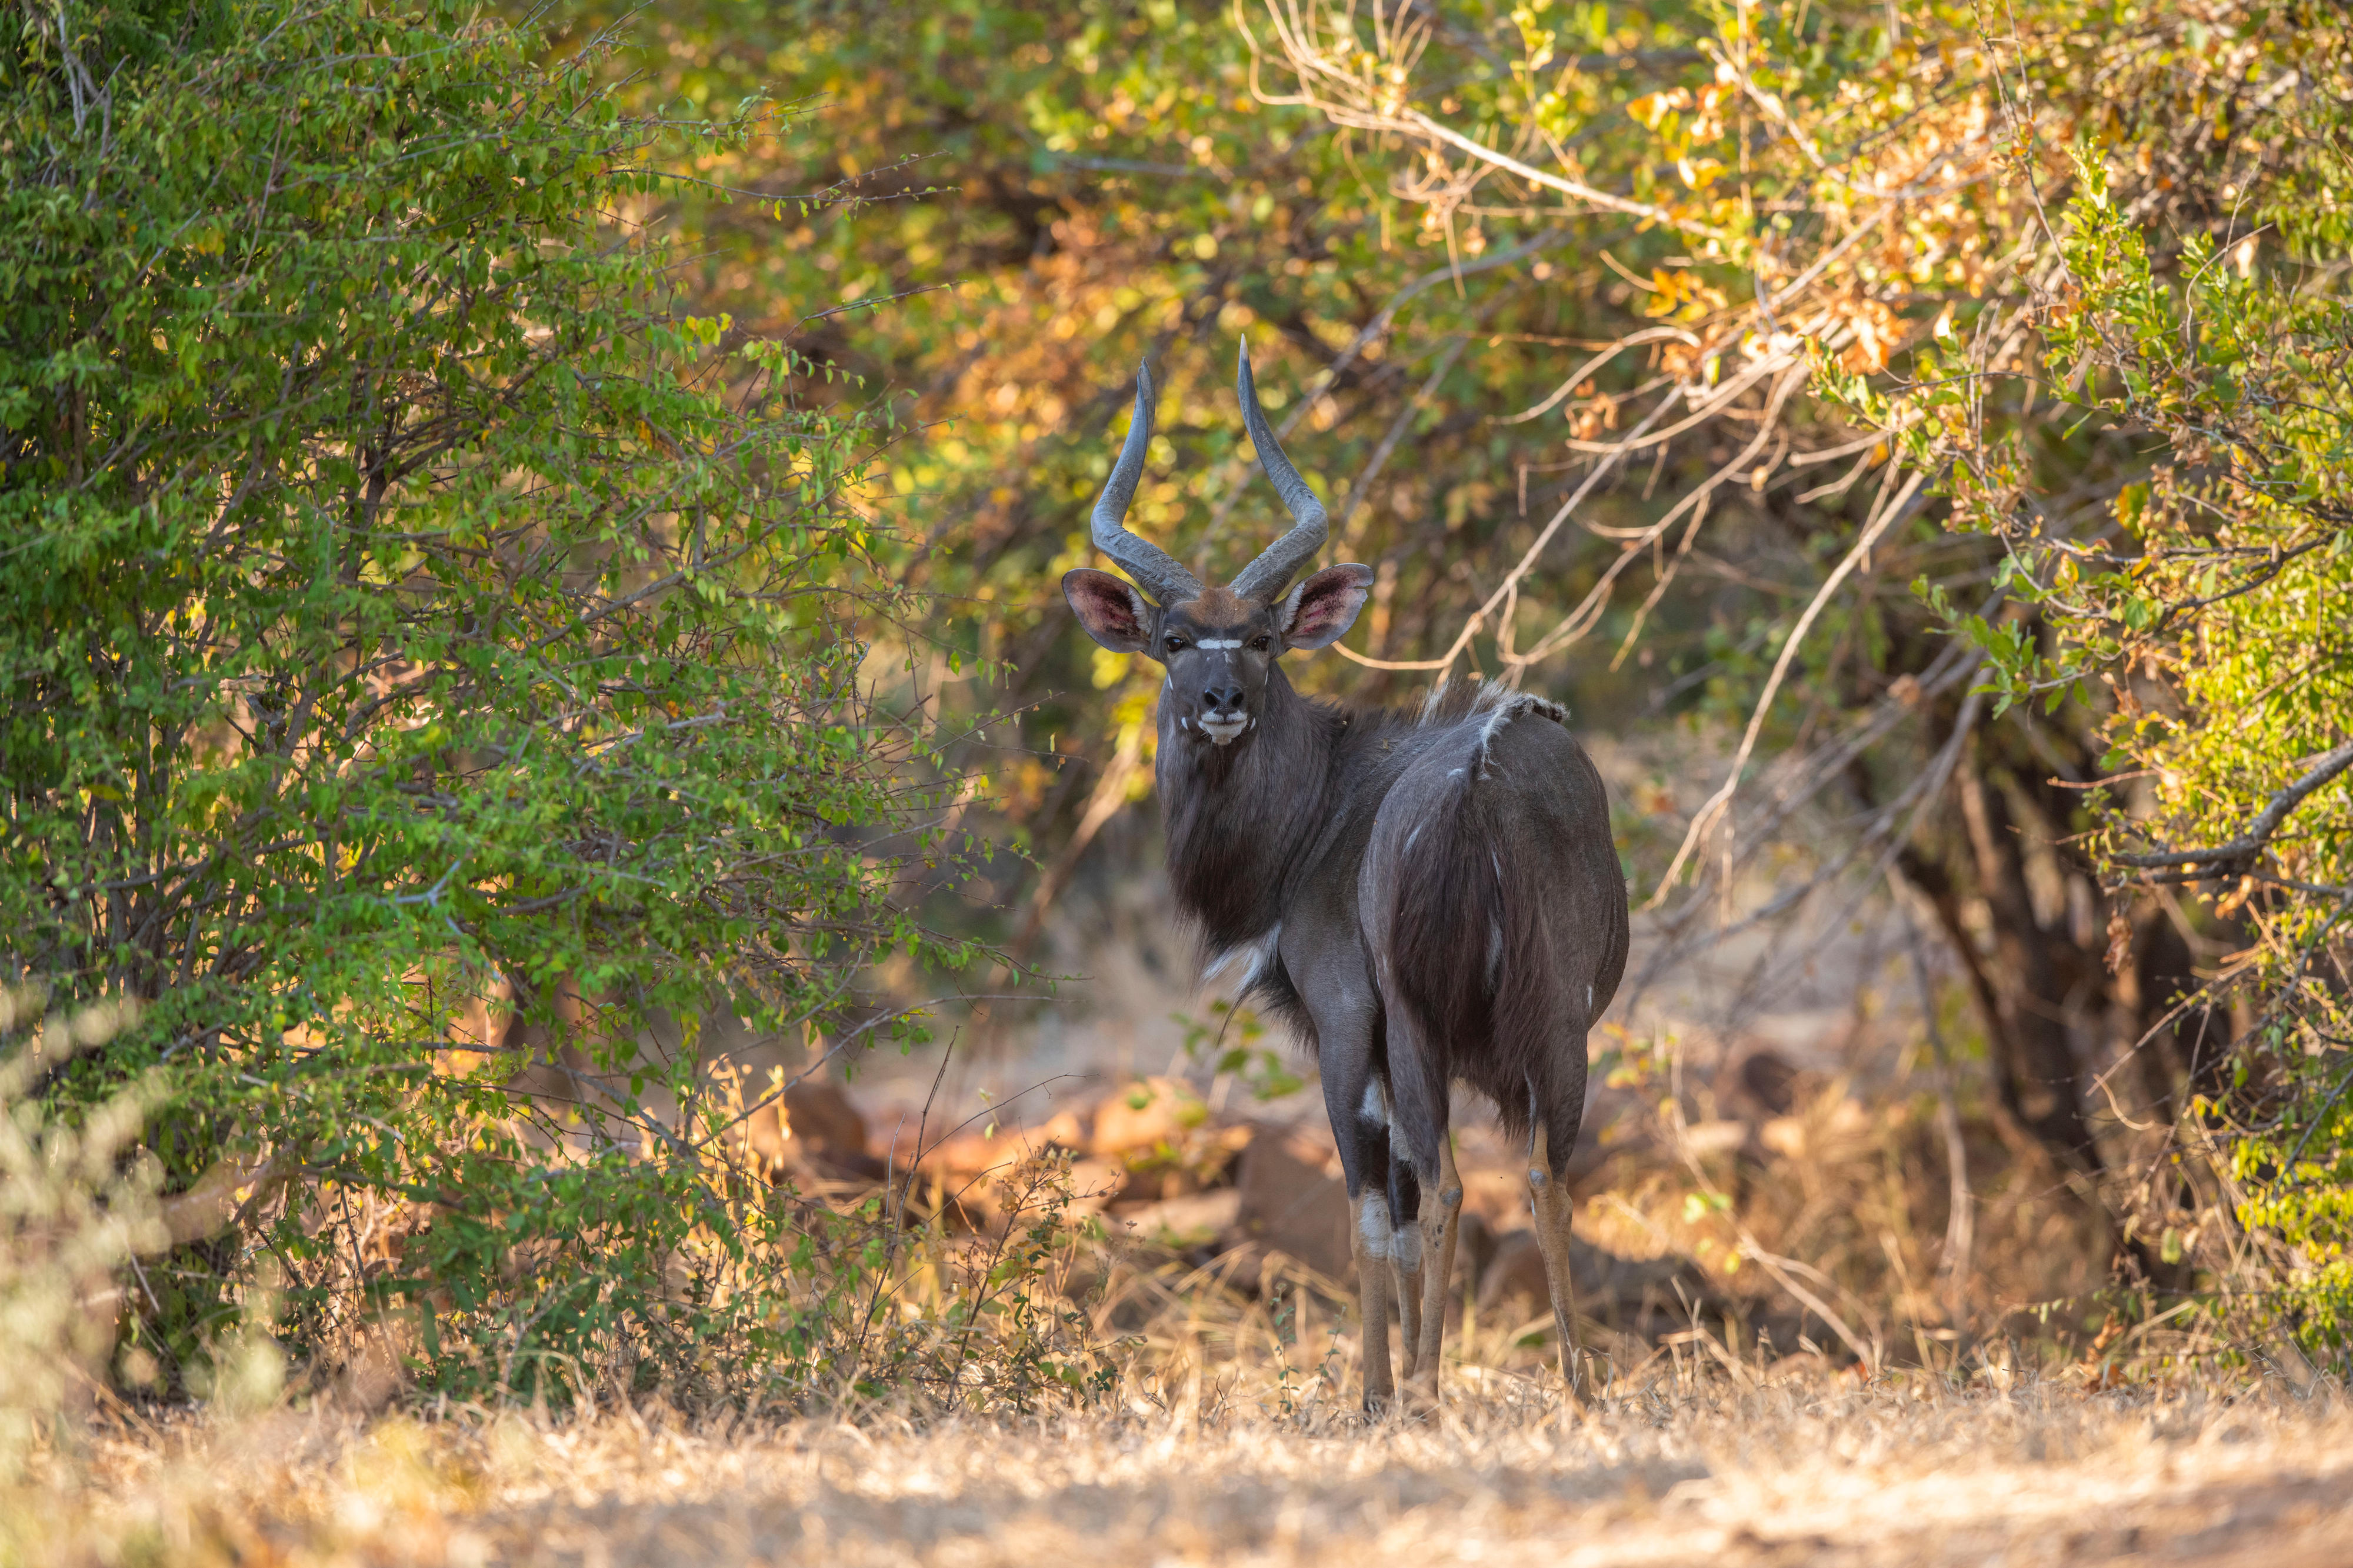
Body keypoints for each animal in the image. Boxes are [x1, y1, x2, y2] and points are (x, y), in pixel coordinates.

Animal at [1064, 346, 1628, 1403]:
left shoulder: (1345, 1025)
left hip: (1416, 1023)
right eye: (1172, 639)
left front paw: (1378, 1393)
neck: (1324, 810)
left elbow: (1375, 1210)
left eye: (1262, 636)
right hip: (1560, 1026)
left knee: (1444, 1183)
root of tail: (1484, 781)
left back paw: (1430, 1388)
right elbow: (1408, 1205)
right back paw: (1578, 1384)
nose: (1222, 700)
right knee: (1544, 1178)